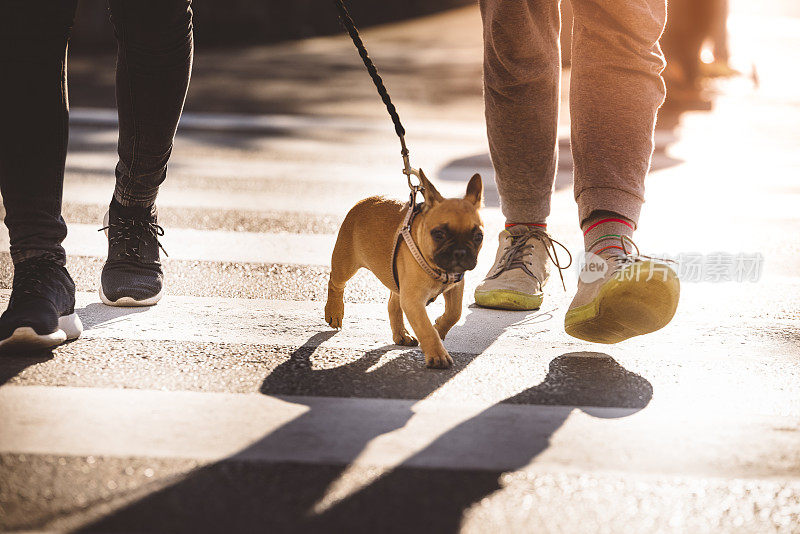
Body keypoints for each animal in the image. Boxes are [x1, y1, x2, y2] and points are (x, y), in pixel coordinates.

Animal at [324, 172, 482, 368]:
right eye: (438, 234)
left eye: (479, 236)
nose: (460, 252)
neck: (439, 270)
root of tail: (365, 200)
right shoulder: (413, 300)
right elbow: (425, 328)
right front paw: (437, 354)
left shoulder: (455, 287)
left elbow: (455, 312)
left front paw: (439, 328)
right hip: (346, 264)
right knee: (336, 283)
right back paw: (334, 312)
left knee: (393, 303)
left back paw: (402, 335)